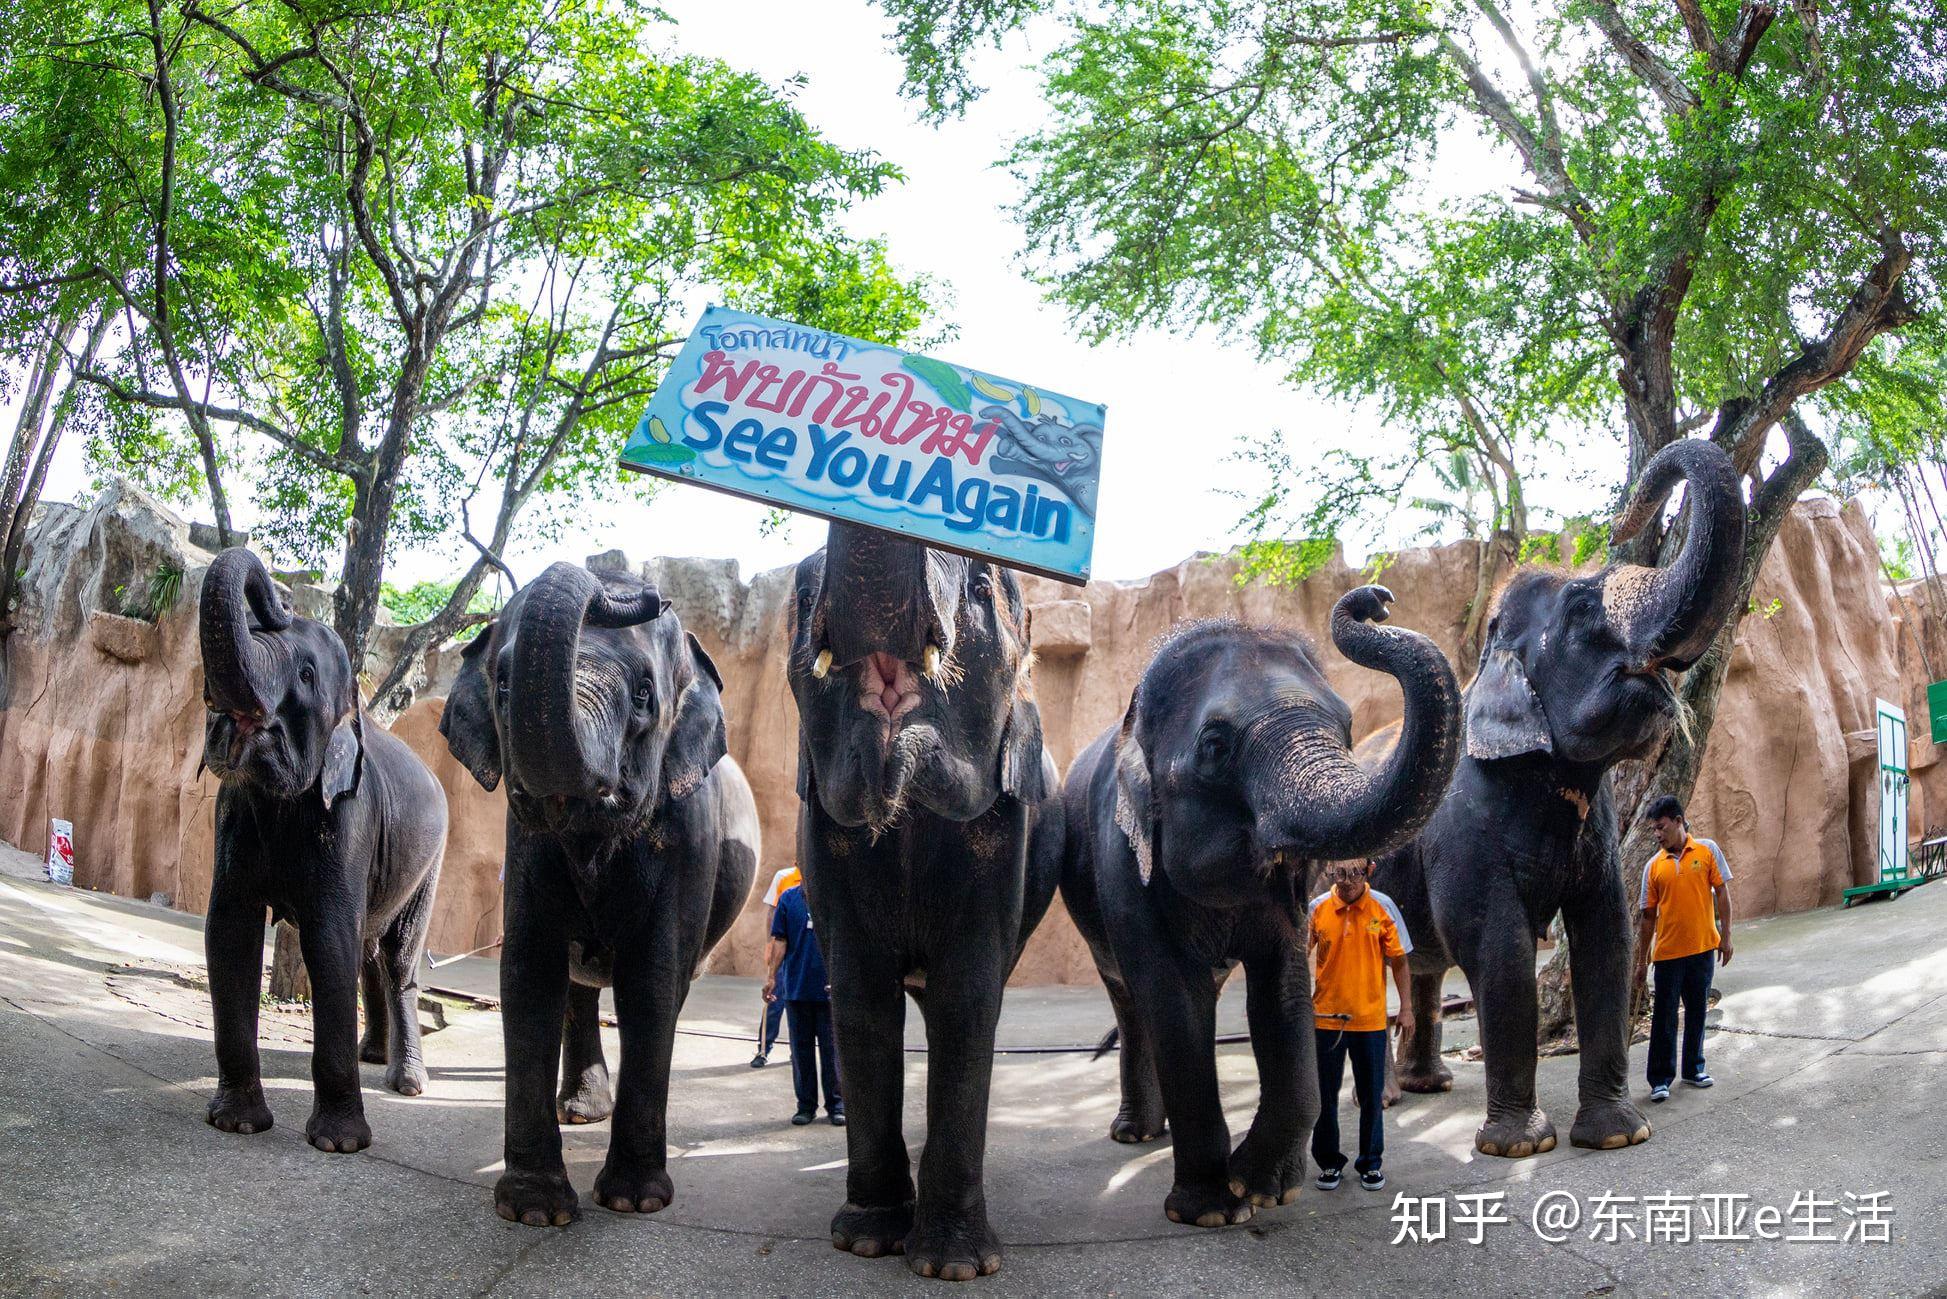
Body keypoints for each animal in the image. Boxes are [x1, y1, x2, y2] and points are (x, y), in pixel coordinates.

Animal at [200, 545, 451, 1152]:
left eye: (307, 674)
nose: (280, 598)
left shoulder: (350, 819)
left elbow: (329, 941)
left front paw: (339, 1144)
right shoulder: (233, 815)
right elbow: (229, 933)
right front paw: (236, 1123)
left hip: (432, 865)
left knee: (398, 959)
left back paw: (407, 1083)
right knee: (370, 950)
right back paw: (372, 1056)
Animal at [441, 560, 759, 1230]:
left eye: (643, 694)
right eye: (503, 684)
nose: (648, 591)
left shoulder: (689, 839)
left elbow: (652, 979)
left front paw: (635, 1201)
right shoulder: (523, 846)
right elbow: (529, 973)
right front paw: (536, 1211)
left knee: (667, 989)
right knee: (577, 985)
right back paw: (581, 1111)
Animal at [782, 518, 1059, 1277]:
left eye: (983, 588)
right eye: (801, 595)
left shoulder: (1004, 829)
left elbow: (967, 995)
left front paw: (951, 1266)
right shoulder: (822, 839)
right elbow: (860, 997)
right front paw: (867, 1240)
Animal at [1059, 588, 1456, 1230]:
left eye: (1348, 728)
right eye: (1215, 746)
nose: (1374, 600)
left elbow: (1285, 991)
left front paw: (1262, 1190)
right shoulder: (1121, 861)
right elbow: (1172, 998)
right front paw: (1210, 1211)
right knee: (1130, 998)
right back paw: (1135, 1134)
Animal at [1378, 436, 1744, 1160]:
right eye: (1579, 611)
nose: (1629, 517)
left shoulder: (1597, 835)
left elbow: (1608, 936)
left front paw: (1619, 1135)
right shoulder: (1460, 837)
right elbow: (1499, 949)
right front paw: (1517, 1147)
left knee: (1421, 968)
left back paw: (1426, 1085)